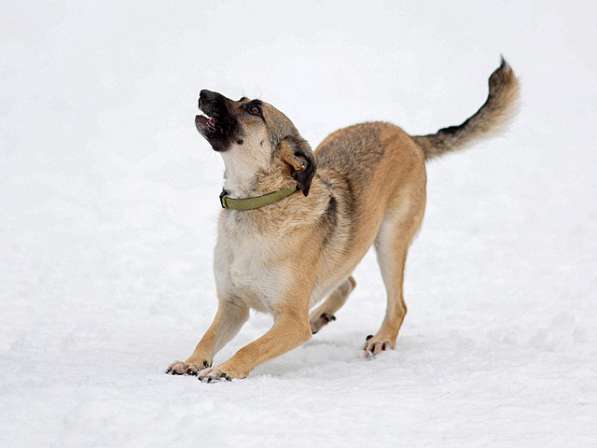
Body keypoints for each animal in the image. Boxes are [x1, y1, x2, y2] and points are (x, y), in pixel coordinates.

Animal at [165, 57, 516, 384]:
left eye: (253, 108)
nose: (203, 92)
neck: (257, 205)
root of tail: (408, 137)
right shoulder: (233, 305)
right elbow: (208, 336)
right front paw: (192, 361)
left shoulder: (291, 322)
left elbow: (251, 347)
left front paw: (225, 370)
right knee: (346, 280)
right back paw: (319, 317)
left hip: (390, 240)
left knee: (398, 304)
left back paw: (381, 338)